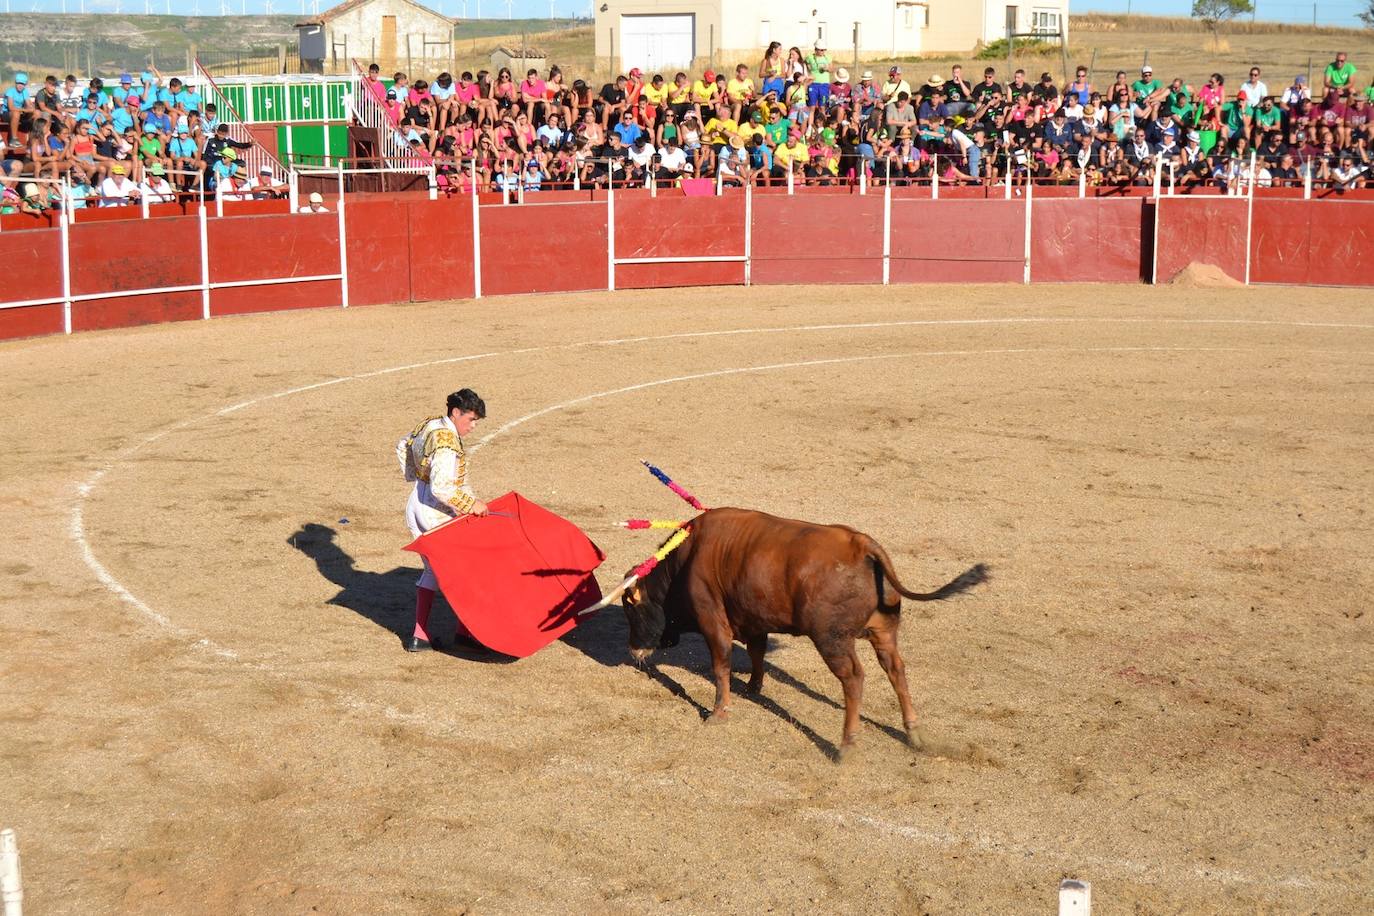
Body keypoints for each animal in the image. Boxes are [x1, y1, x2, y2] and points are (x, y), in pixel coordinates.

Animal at [615, 505, 989, 758]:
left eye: (631, 610)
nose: (632, 651)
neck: (684, 563)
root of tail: (862, 545)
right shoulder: (753, 618)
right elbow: (757, 652)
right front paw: (753, 688)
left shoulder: (712, 620)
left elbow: (720, 666)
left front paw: (719, 713)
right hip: (884, 632)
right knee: (896, 669)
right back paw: (915, 734)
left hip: (831, 639)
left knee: (854, 679)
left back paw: (847, 745)